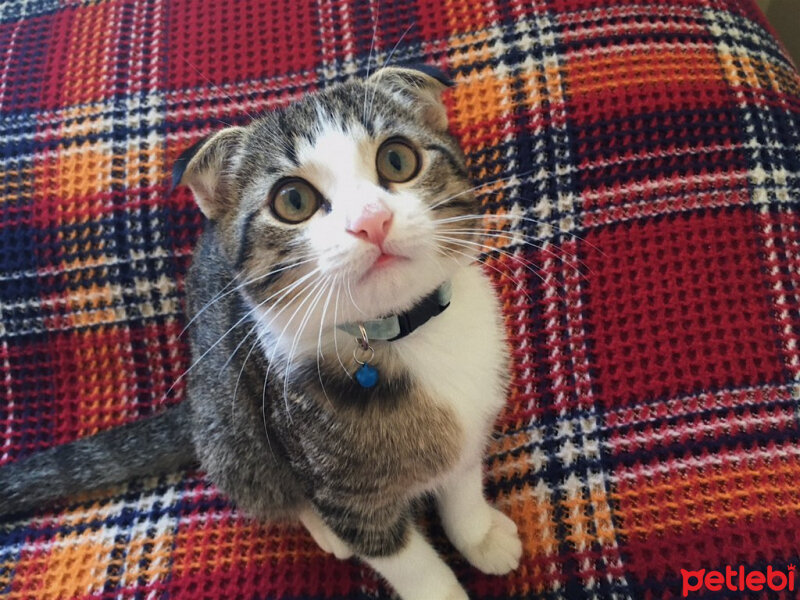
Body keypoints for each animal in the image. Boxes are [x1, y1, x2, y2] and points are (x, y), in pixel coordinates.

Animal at [0, 65, 524, 600]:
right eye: (293, 200)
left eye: (397, 159)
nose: (371, 221)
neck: (403, 335)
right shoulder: (337, 488)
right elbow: (405, 560)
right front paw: (441, 581)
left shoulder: (476, 409)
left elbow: (462, 479)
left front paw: (479, 533)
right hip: (230, 424)